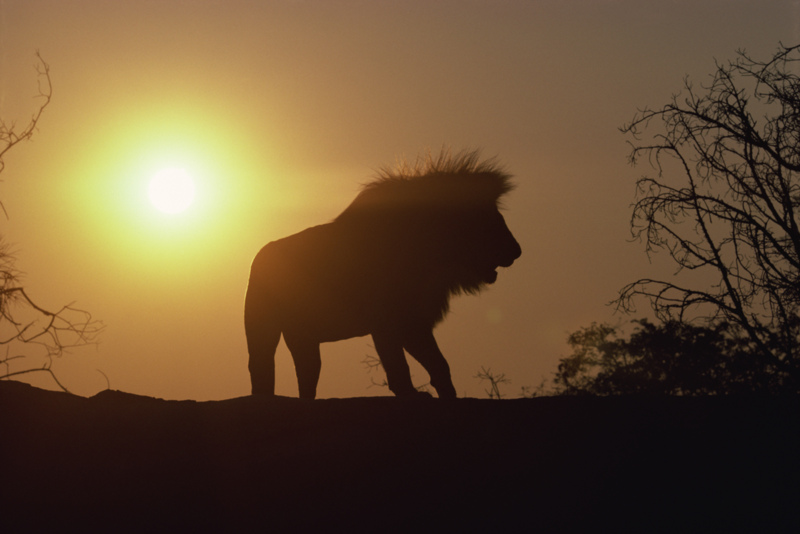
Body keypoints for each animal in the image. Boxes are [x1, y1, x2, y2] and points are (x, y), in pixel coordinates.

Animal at [244, 149, 521, 399]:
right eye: (488, 217)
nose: (517, 250)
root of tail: (260, 254)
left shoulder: (414, 322)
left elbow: (439, 365)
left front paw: (447, 395)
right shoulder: (386, 322)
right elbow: (398, 367)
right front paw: (412, 395)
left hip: (304, 336)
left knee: (307, 374)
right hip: (262, 327)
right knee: (261, 368)